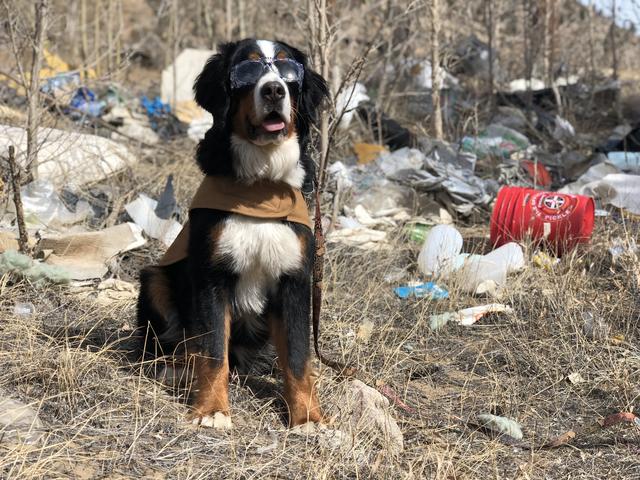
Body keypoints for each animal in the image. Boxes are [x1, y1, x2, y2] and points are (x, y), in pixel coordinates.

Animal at [139, 39, 330, 430]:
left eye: (288, 71)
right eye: (248, 70)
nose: (274, 90)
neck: (261, 188)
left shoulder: (295, 280)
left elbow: (299, 356)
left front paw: (307, 416)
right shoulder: (212, 276)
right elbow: (213, 351)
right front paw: (212, 410)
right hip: (154, 279)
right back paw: (178, 370)